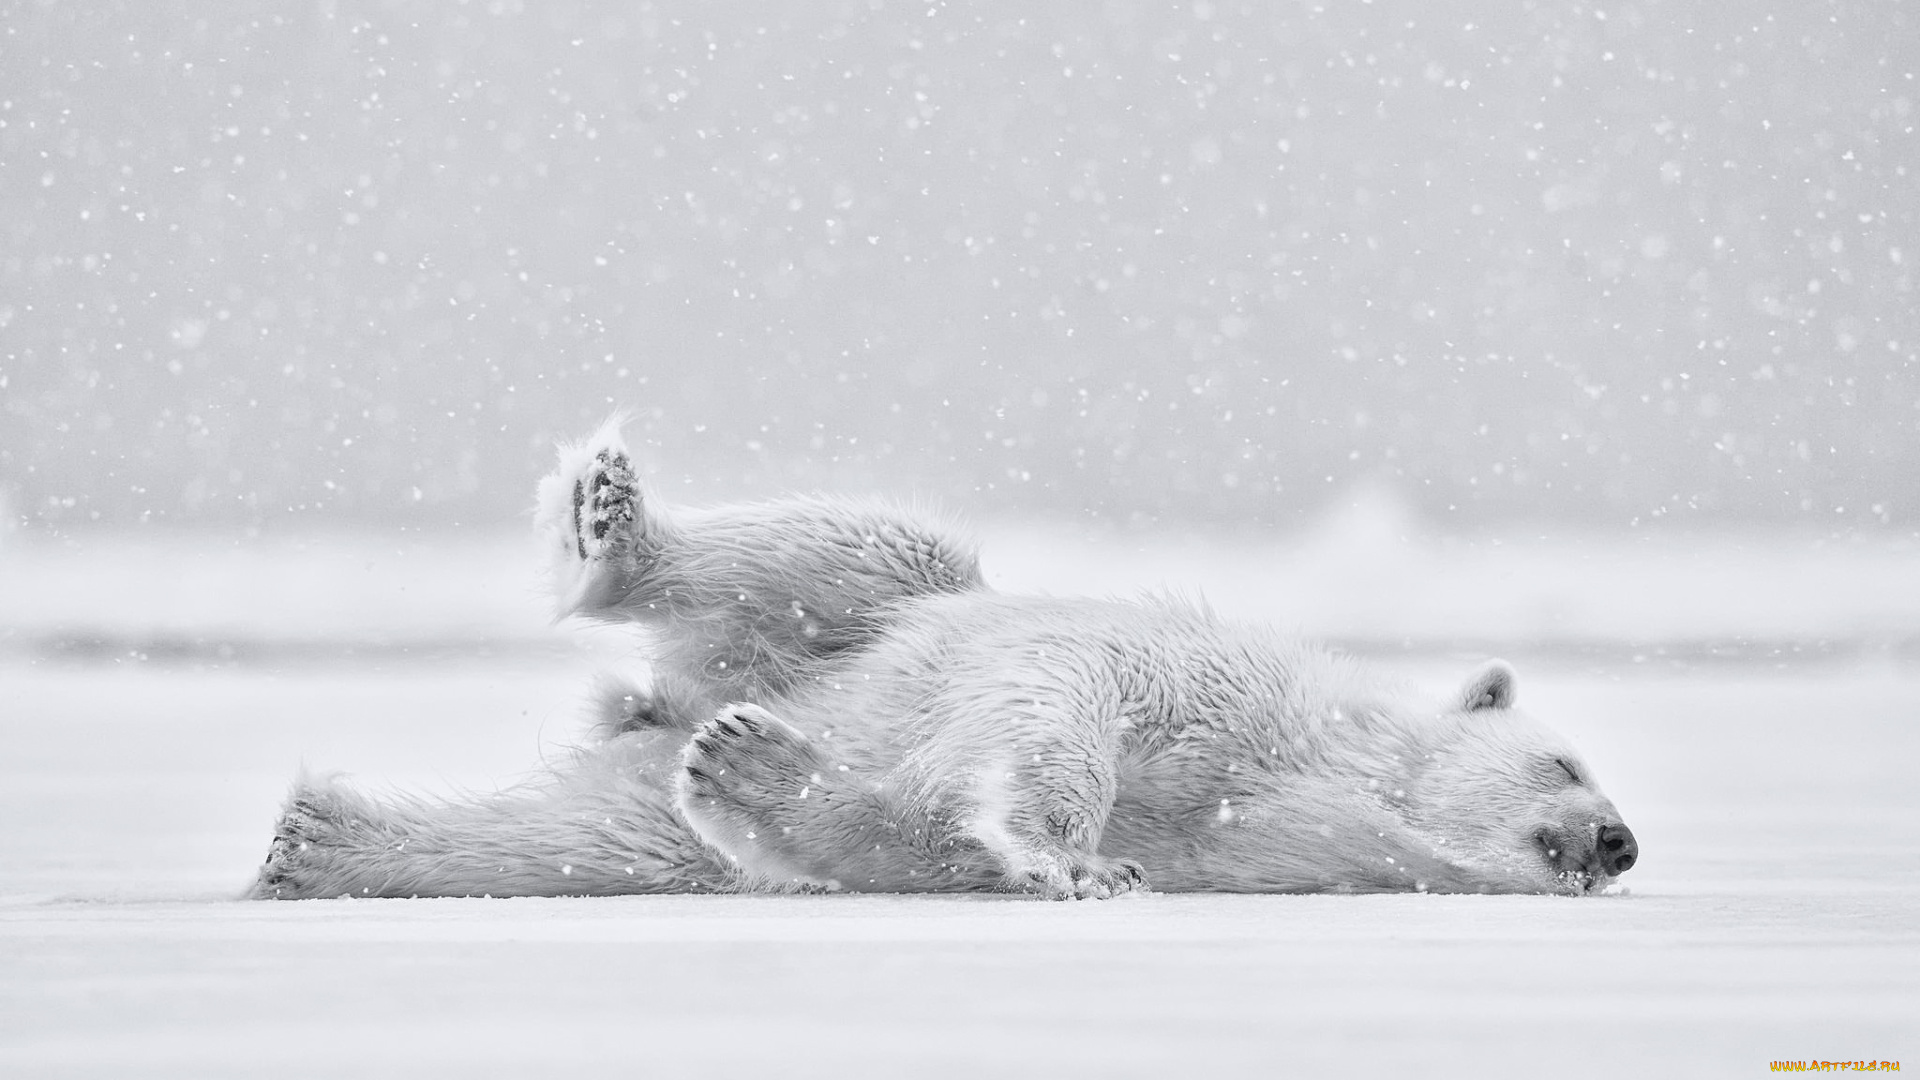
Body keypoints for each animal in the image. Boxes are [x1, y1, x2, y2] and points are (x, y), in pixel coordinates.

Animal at [250, 420, 1638, 901]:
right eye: (1566, 761)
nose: (1619, 842)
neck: (1320, 762)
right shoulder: (1209, 687)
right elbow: (1067, 705)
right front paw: (1079, 859)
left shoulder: (1285, 848)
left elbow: (922, 839)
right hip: (872, 617)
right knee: (865, 550)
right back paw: (612, 526)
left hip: (671, 777)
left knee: (588, 836)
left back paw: (319, 840)